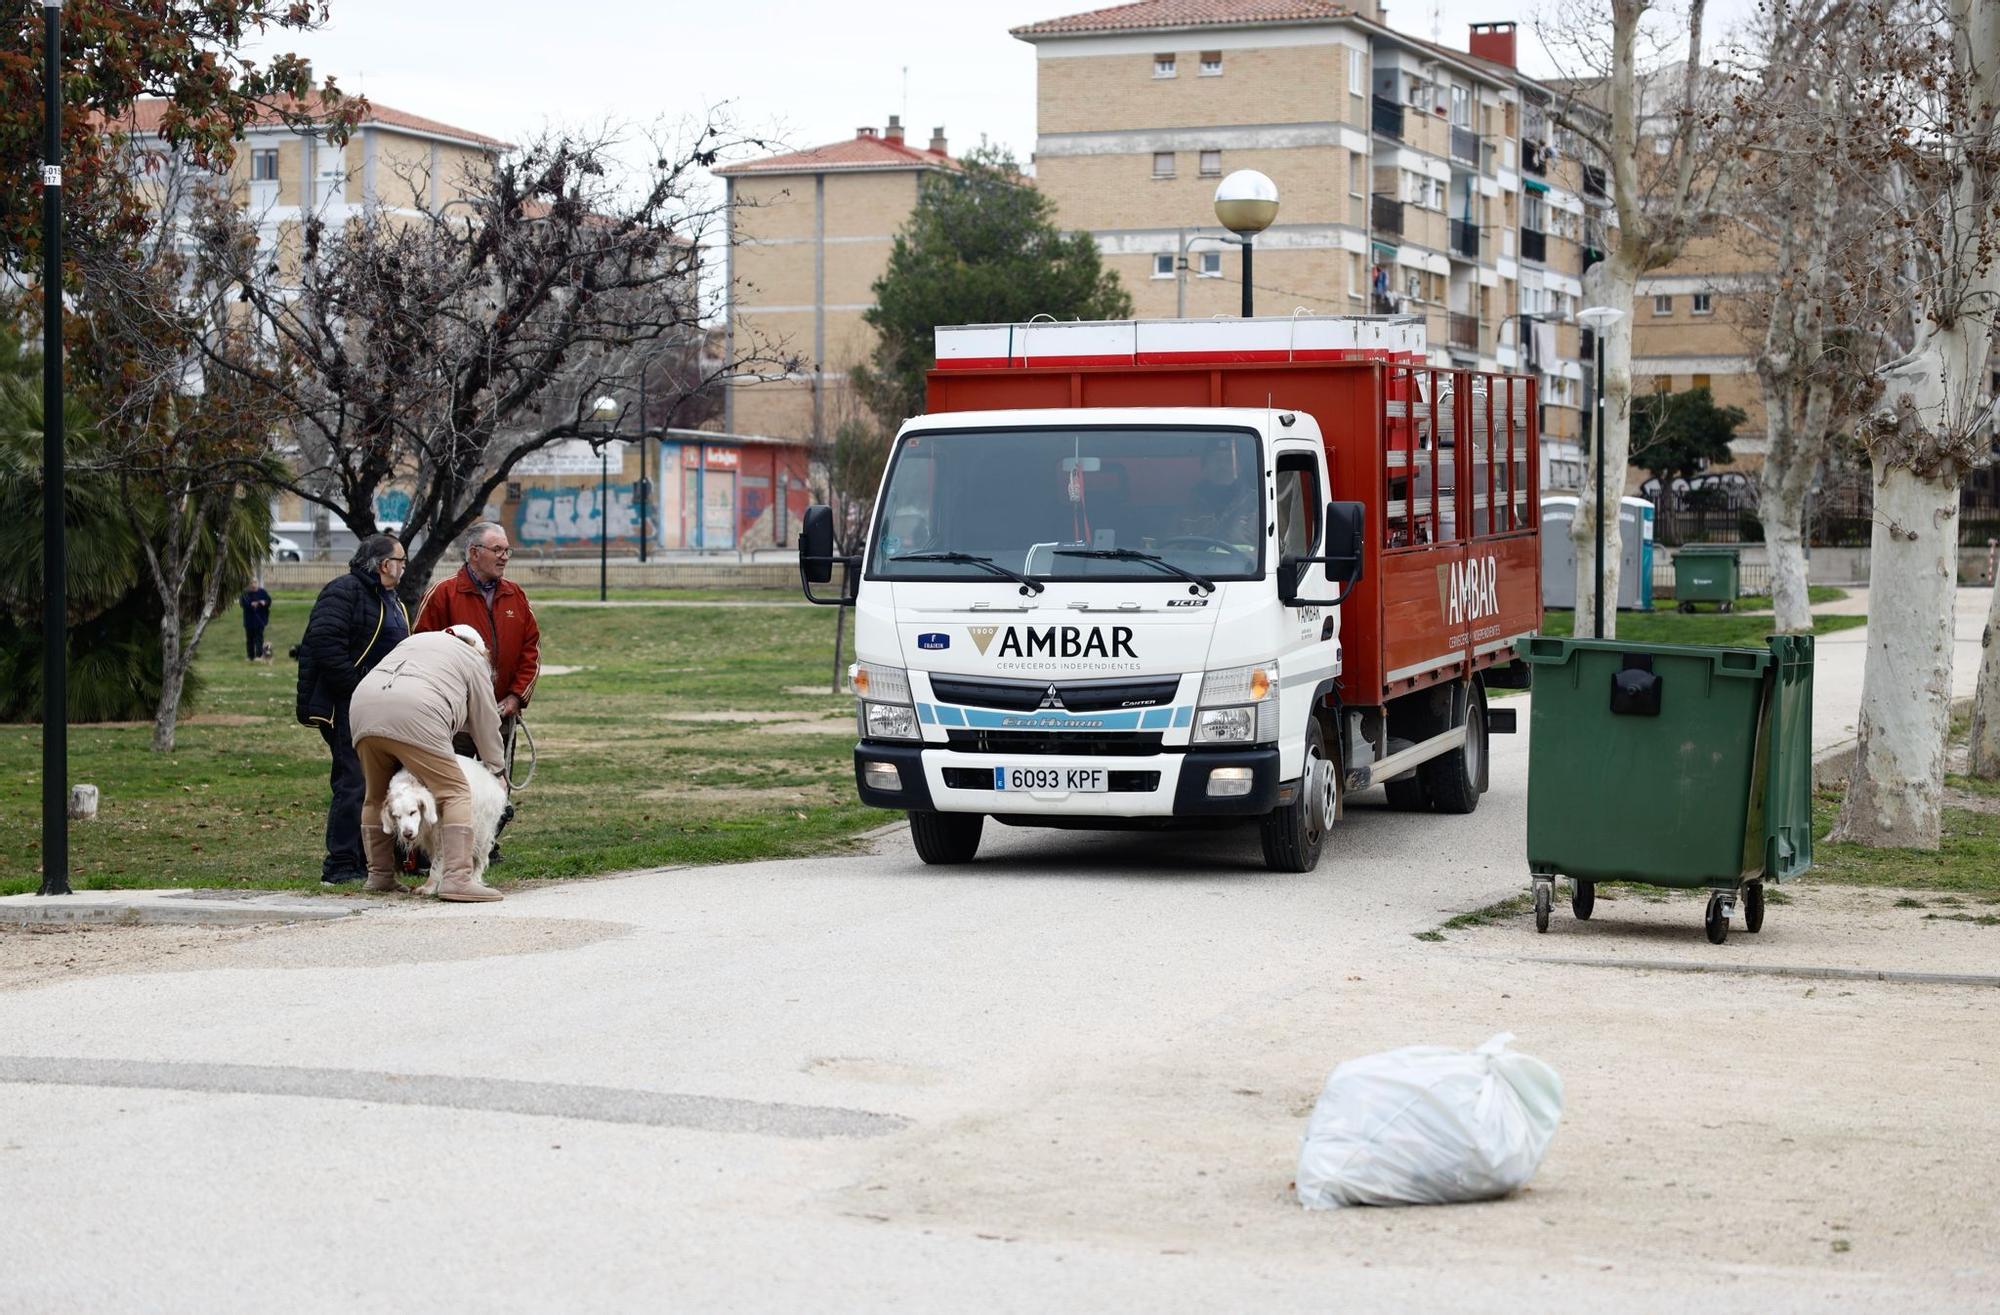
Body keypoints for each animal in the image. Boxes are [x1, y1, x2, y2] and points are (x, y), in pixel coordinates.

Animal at [378, 751, 512, 895]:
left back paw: (475, 880)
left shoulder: (442, 837)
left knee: (480, 859)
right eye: (396, 816)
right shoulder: (430, 839)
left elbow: (437, 864)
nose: (407, 834)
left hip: (482, 832)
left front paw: (429, 887)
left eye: (413, 812)